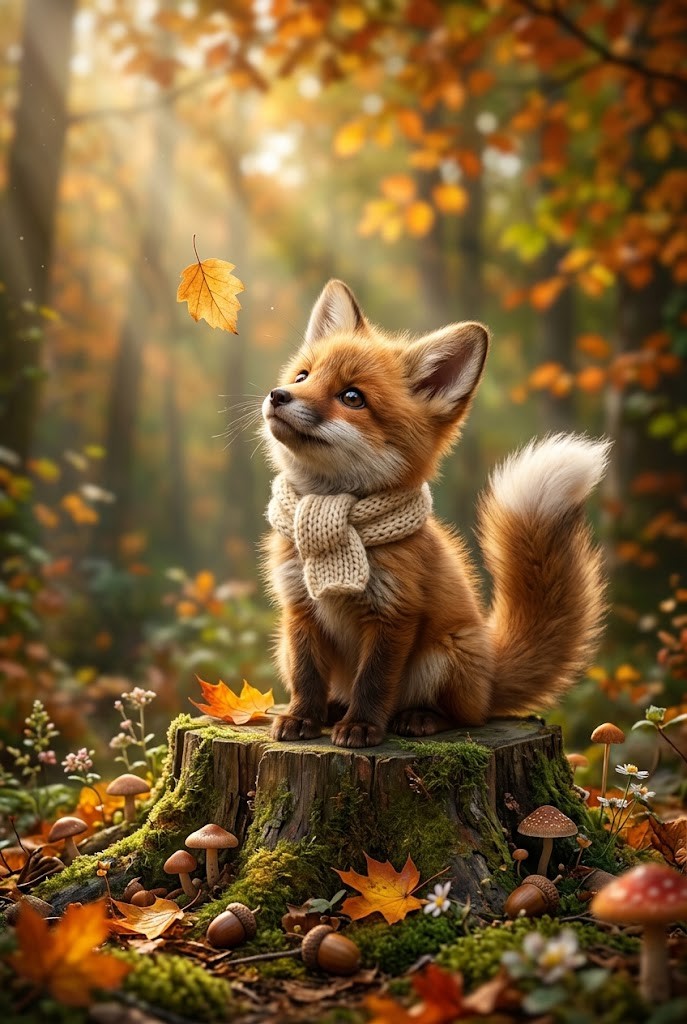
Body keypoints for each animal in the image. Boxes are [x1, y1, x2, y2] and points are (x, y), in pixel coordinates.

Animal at [260, 279, 610, 749]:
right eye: (303, 376)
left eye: (352, 397)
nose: (278, 395)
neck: (340, 513)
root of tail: (489, 677)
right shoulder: (299, 608)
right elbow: (306, 676)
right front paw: (301, 718)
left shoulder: (395, 613)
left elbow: (374, 682)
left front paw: (362, 727)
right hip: (284, 644)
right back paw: (333, 710)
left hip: (444, 656)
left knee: (463, 716)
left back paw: (417, 718)